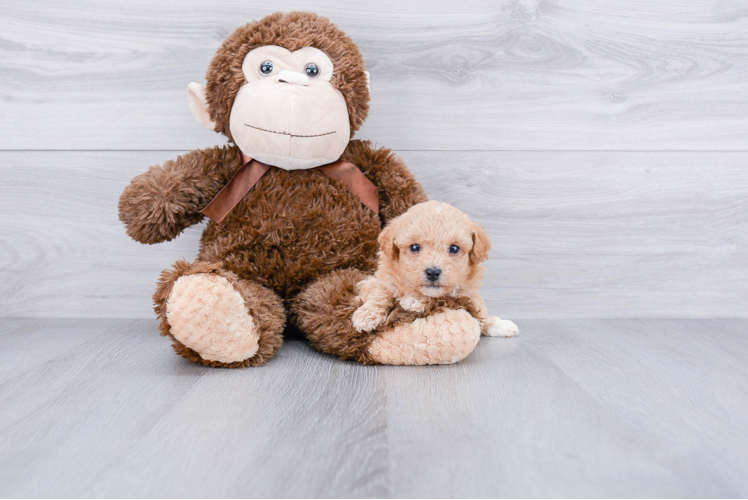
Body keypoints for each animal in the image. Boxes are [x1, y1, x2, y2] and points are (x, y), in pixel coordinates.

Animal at [352, 198, 520, 336]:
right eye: (414, 247)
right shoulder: (375, 280)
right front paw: (365, 316)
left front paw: (499, 325)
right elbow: (380, 293)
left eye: (454, 248)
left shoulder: (468, 295)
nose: (433, 272)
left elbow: (479, 312)